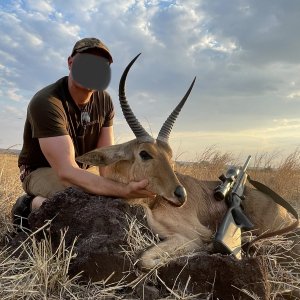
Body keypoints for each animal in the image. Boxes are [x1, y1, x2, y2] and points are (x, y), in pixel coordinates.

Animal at [76, 54, 296, 270]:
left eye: (170, 155)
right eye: (145, 153)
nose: (181, 195)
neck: (152, 202)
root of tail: (288, 213)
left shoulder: (195, 235)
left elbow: (145, 259)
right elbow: (144, 259)